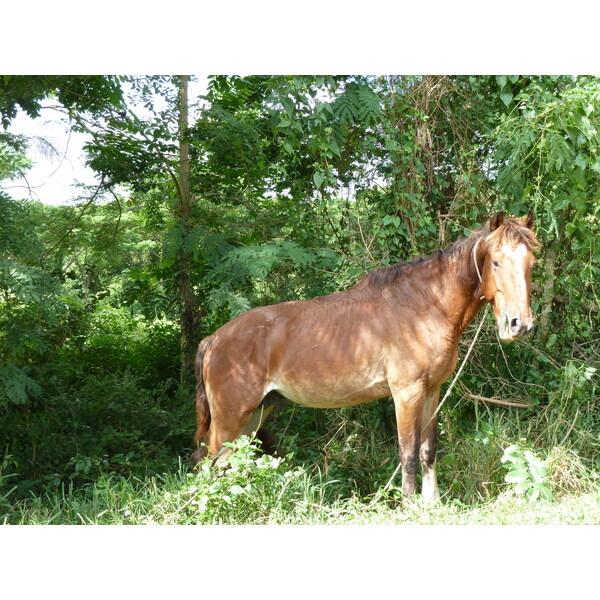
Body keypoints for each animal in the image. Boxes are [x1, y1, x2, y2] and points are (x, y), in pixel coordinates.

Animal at [191, 211, 540, 502]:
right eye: (496, 262)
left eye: (531, 264)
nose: (518, 324)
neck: (424, 306)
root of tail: (213, 340)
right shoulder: (406, 393)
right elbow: (408, 454)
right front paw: (410, 506)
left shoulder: (432, 391)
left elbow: (427, 451)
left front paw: (433, 504)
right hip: (231, 418)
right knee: (208, 463)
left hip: (255, 415)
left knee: (227, 463)